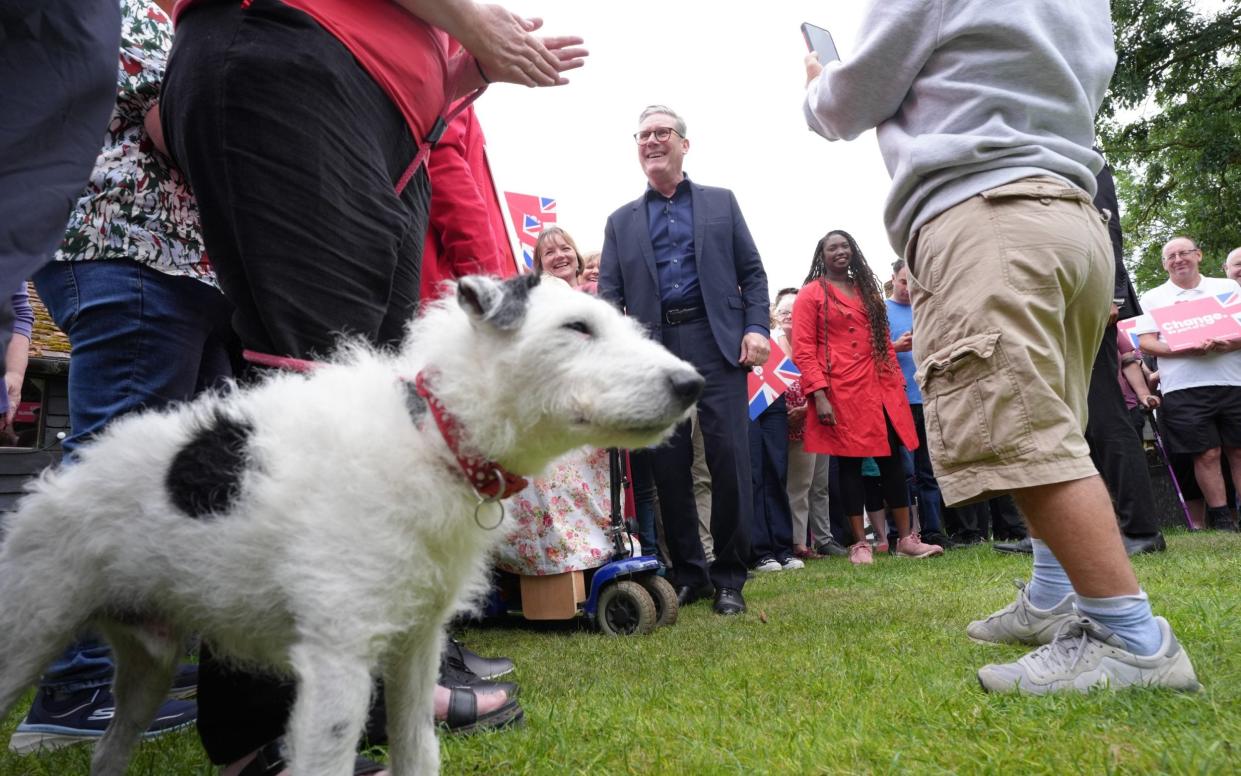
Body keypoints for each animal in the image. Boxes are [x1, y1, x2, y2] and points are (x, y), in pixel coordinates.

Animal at [0, 274, 704, 774]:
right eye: (576, 327)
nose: (692, 383)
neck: (433, 431)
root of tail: (55, 481)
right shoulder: (338, 656)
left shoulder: (415, 649)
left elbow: (419, 752)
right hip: (28, 633)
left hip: (149, 663)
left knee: (108, 752)